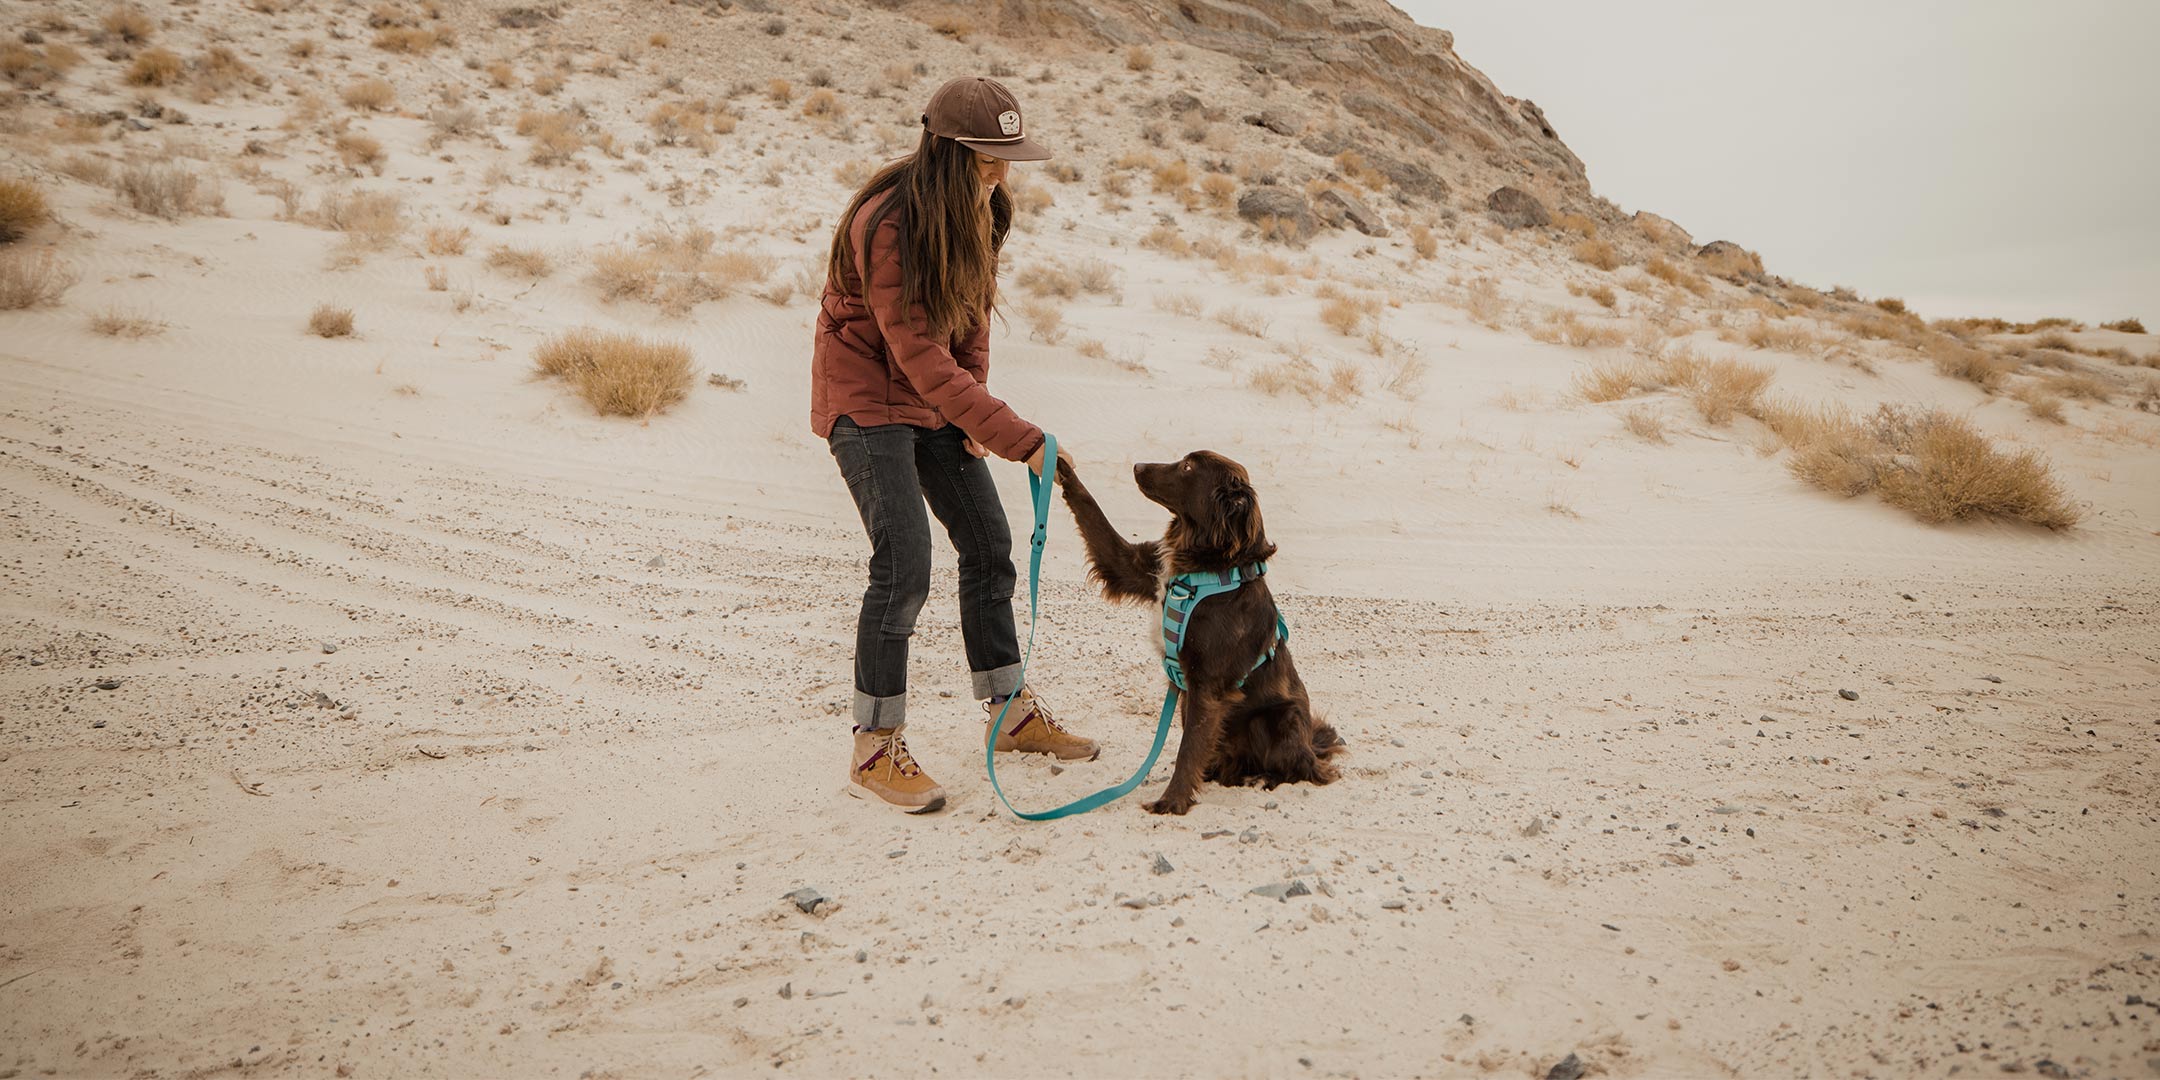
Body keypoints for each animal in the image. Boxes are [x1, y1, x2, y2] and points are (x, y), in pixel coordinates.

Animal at [1058, 451, 1339, 812]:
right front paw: (1057, 464)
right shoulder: (1135, 566)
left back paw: (1264, 778)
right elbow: (1092, 511)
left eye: (1188, 467)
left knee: (1305, 768)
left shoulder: (1207, 686)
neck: (1205, 568)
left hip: (1278, 719)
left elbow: (1188, 749)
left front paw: (1171, 802)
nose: (1137, 466)